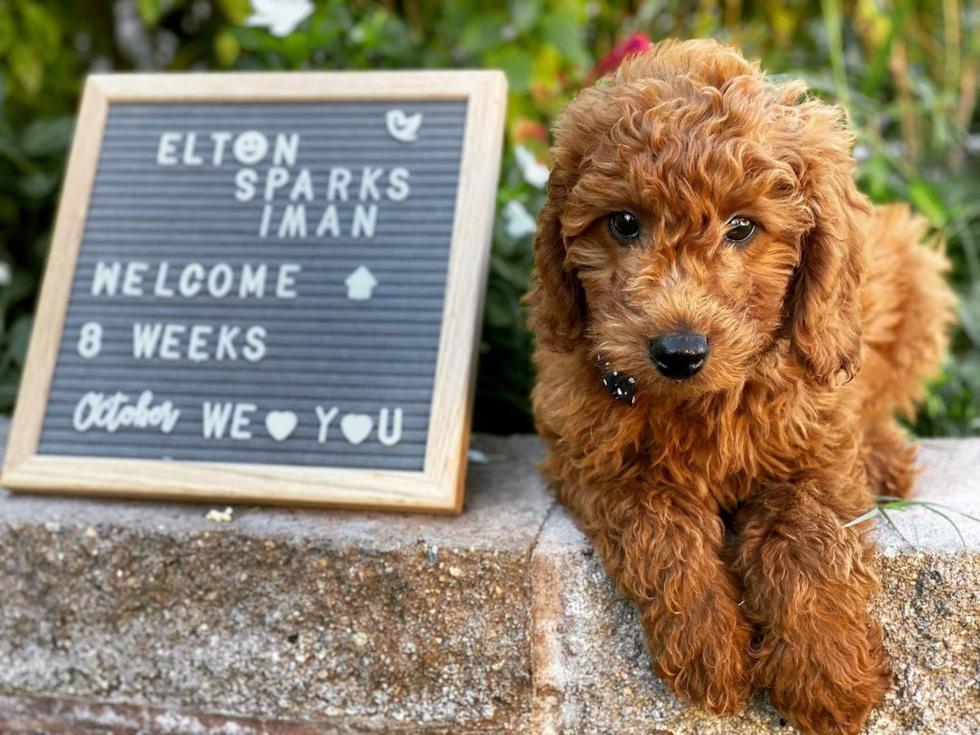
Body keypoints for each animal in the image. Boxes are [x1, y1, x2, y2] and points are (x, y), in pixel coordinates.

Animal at [528, 41, 956, 735]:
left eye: (742, 227)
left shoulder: (816, 449)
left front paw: (827, 673)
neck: (704, 401)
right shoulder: (589, 456)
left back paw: (883, 457)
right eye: (623, 224)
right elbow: (657, 523)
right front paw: (710, 649)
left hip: (913, 277)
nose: (678, 352)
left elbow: (808, 534)